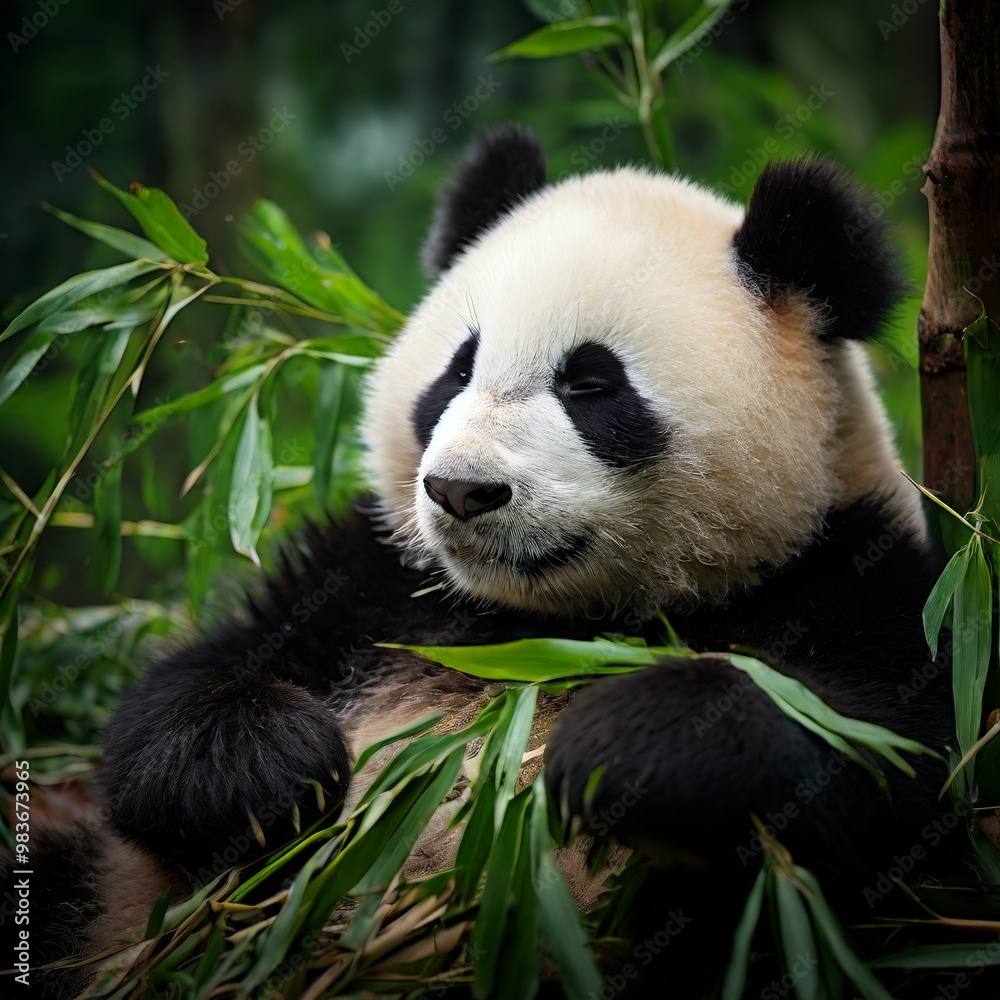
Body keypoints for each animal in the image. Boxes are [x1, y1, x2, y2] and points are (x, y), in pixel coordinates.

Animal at [23, 127, 952, 1000]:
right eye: (460, 367)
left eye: (591, 385)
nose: (463, 490)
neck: (539, 623)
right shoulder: (370, 581)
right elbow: (179, 702)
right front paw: (269, 763)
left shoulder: (850, 578)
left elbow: (881, 768)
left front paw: (626, 744)